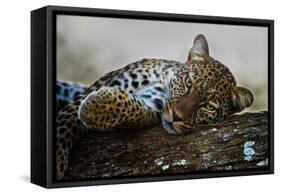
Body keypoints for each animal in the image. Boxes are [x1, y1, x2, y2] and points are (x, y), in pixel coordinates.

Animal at [55, 34, 254, 179]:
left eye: (209, 107)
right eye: (189, 82)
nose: (176, 116)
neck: (163, 83)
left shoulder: (150, 108)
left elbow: (132, 109)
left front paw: (96, 106)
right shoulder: (88, 92)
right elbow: (65, 126)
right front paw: (57, 164)